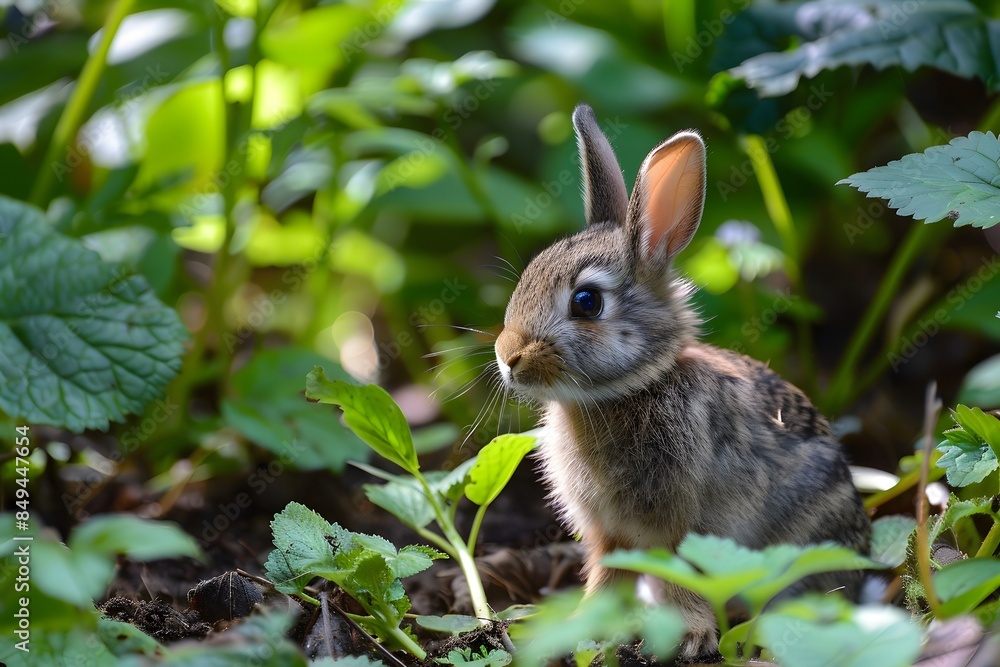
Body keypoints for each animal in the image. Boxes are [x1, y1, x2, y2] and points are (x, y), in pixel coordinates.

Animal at [494, 104, 871, 661]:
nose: (508, 356)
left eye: (587, 302)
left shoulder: (676, 525)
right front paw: (581, 625)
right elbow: (607, 576)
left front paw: (690, 638)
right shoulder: (609, 533)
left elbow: (679, 575)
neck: (628, 391)